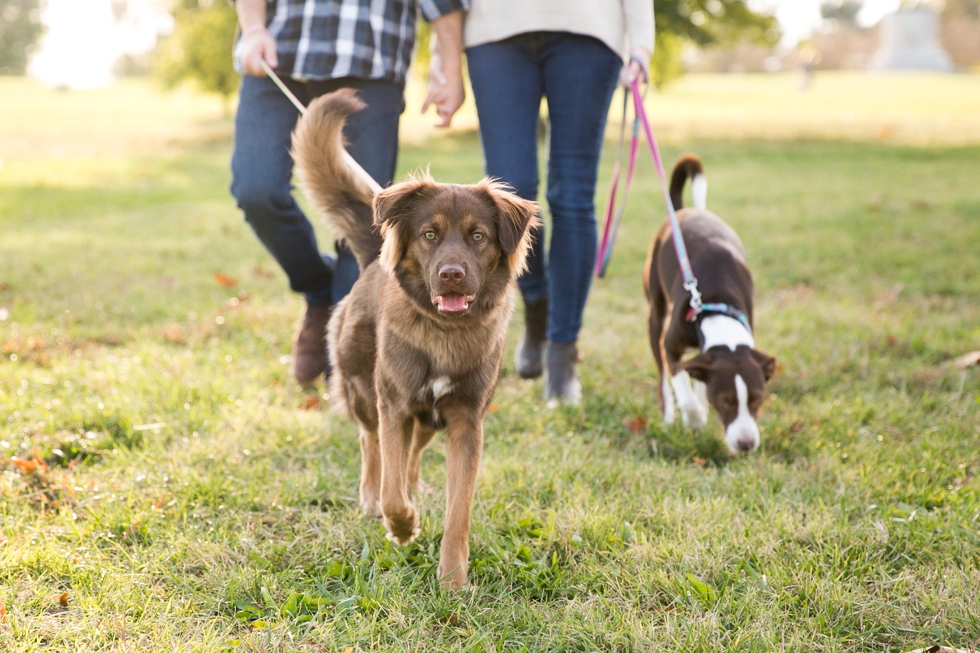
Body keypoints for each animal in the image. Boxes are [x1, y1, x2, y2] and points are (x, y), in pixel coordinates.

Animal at [288, 89, 540, 588]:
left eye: (478, 236)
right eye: (429, 234)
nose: (452, 275)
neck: (444, 332)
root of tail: (371, 259)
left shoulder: (466, 423)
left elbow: (459, 510)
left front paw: (453, 578)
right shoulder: (395, 405)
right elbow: (391, 487)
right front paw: (402, 527)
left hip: (428, 420)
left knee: (410, 457)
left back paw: (416, 485)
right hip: (366, 391)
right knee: (372, 447)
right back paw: (372, 497)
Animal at [644, 156, 772, 454]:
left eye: (757, 399)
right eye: (725, 401)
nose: (746, 444)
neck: (716, 308)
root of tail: (684, 211)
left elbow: (699, 381)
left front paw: (701, 410)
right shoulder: (671, 345)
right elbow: (681, 383)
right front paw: (695, 419)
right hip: (655, 309)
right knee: (663, 375)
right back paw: (668, 417)